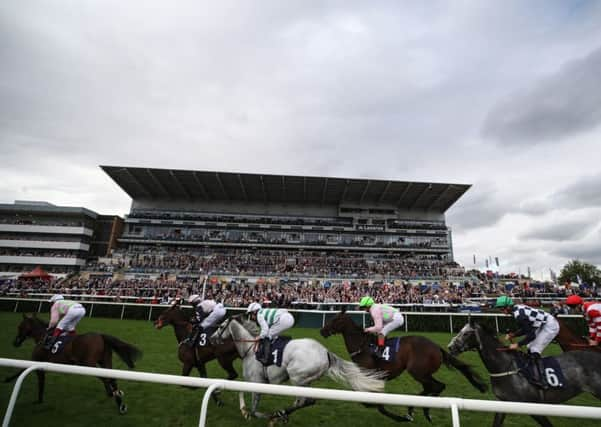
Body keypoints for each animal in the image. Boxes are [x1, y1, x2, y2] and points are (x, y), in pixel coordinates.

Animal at [7, 314, 141, 414]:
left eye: (20, 326)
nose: (15, 342)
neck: (43, 337)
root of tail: (100, 336)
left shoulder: (37, 362)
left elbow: (28, 373)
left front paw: (38, 400)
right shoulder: (41, 363)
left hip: (88, 363)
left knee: (104, 377)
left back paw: (111, 393)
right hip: (105, 361)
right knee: (112, 378)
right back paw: (120, 404)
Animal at [211, 312, 384, 426]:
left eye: (221, 326)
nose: (212, 339)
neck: (250, 350)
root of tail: (325, 352)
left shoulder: (256, 381)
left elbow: (254, 409)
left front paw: (254, 414)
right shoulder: (249, 381)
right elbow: (239, 391)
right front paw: (242, 409)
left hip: (297, 376)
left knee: (304, 400)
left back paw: (279, 414)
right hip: (306, 380)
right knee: (305, 401)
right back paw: (282, 414)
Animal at [322, 310, 486, 422]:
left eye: (334, 319)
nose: (322, 331)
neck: (362, 346)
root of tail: (436, 347)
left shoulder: (372, 376)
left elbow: (376, 403)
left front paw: (397, 417)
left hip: (417, 372)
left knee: (438, 386)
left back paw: (421, 410)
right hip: (424, 374)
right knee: (432, 387)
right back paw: (414, 409)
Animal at [448, 320, 600, 427]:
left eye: (466, 333)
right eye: (460, 331)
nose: (450, 347)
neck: (504, 367)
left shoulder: (533, 406)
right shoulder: (502, 403)